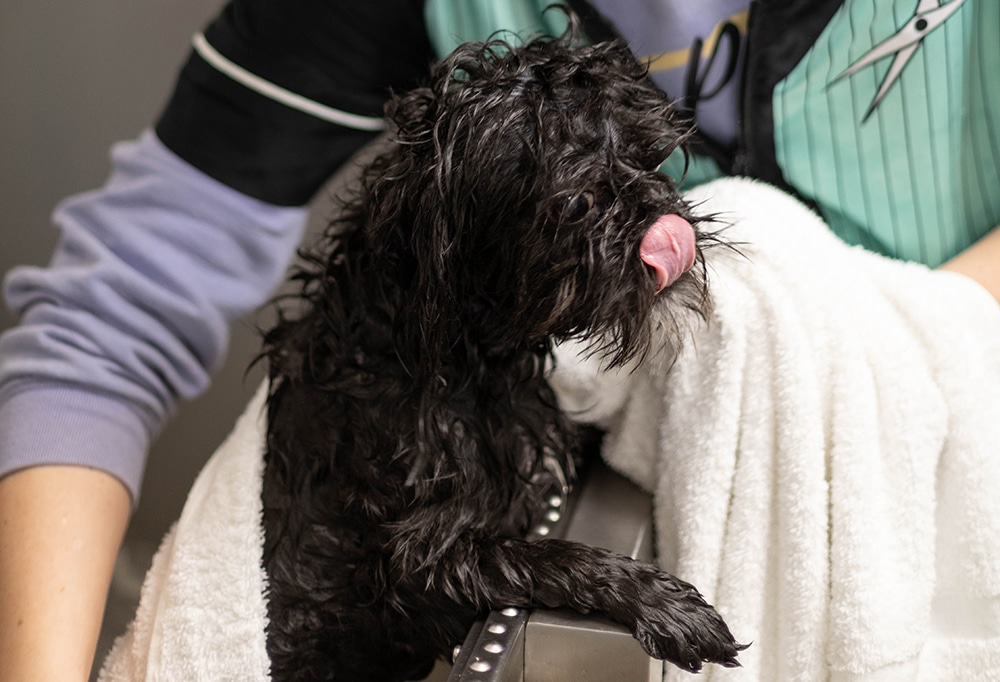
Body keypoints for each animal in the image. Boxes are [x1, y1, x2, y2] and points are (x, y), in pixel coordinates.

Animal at [258, 27, 744, 680]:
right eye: (576, 204)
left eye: (646, 156)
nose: (661, 220)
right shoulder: (422, 563)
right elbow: (547, 556)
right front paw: (662, 603)